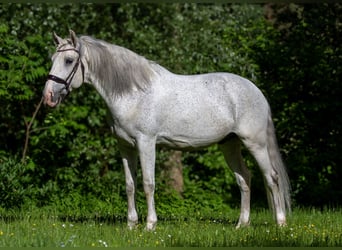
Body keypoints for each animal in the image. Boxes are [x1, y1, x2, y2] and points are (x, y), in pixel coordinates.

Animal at [41, 30, 290, 229]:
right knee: (244, 179)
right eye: (53, 58)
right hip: (230, 144)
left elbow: (148, 184)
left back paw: (280, 223)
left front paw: (150, 225)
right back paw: (241, 225)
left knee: (271, 178)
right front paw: (131, 225)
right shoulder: (125, 147)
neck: (134, 93)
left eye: (69, 60)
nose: (48, 97)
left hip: (255, 143)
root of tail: (256, 90)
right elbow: (130, 185)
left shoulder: (146, 143)